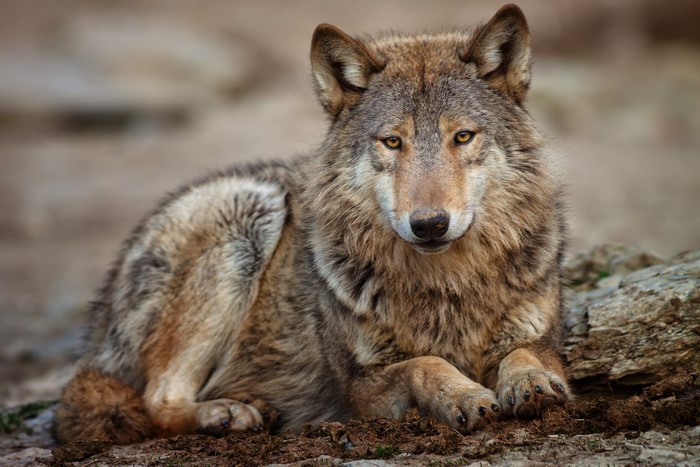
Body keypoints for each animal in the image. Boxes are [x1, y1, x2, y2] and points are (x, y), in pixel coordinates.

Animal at [54, 4, 570, 444]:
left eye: (462, 136)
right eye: (392, 142)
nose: (429, 225)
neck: (447, 286)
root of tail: (99, 322)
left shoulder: (543, 339)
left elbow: (525, 354)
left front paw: (533, 384)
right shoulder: (362, 387)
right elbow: (426, 364)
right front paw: (464, 396)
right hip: (248, 215)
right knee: (155, 400)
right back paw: (228, 413)